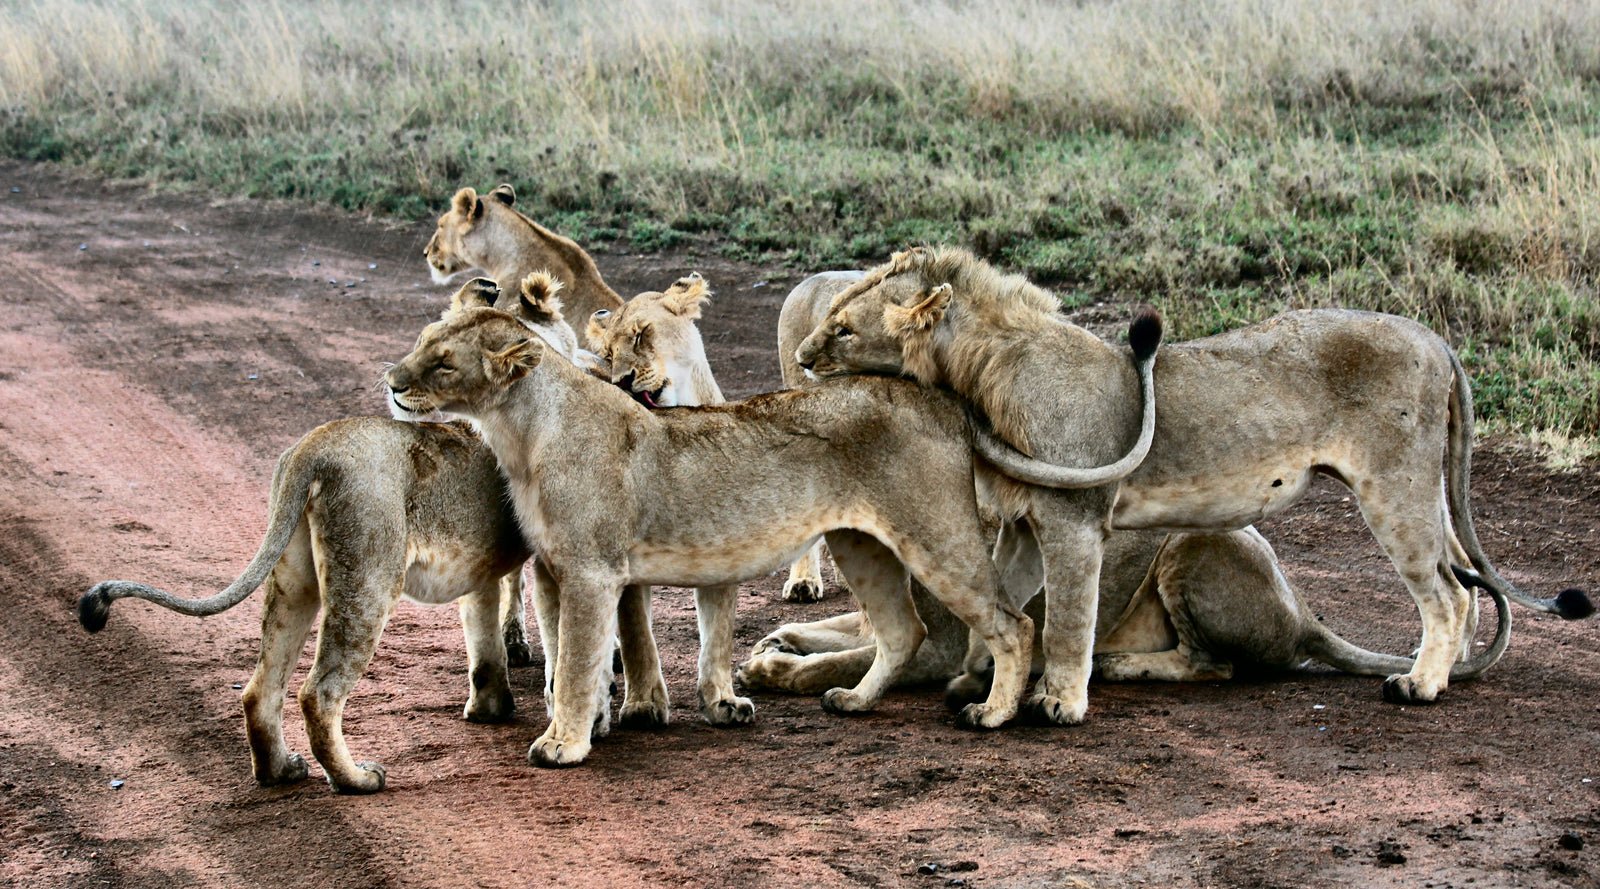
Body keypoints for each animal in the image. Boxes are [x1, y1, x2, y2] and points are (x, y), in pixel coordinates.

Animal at [384, 306, 1041, 767]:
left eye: (444, 362)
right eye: (420, 343)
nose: (391, 381)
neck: (519, 430)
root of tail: (940, 399)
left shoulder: (591, 571)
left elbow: (574, 661)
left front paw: (564, 744)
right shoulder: (552, 568)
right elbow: (577, 657)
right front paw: (597, 721)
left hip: (936, 535)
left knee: (1012, 624)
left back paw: (992, 712)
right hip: (863, 545)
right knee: (904, 631)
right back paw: (854, 700)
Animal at [796, 246, 1592, 723]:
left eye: (843, 330)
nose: (801, 358)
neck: (977, 374)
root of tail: (1433, 337)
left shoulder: (1073, 519)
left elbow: (1065, 619)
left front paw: (1057, 702)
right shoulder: (1026, 522)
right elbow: (1009, 607)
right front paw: (985, 682)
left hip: (1393, 488)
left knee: (1448, 593)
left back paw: (1423, 685)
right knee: (1460, 585)